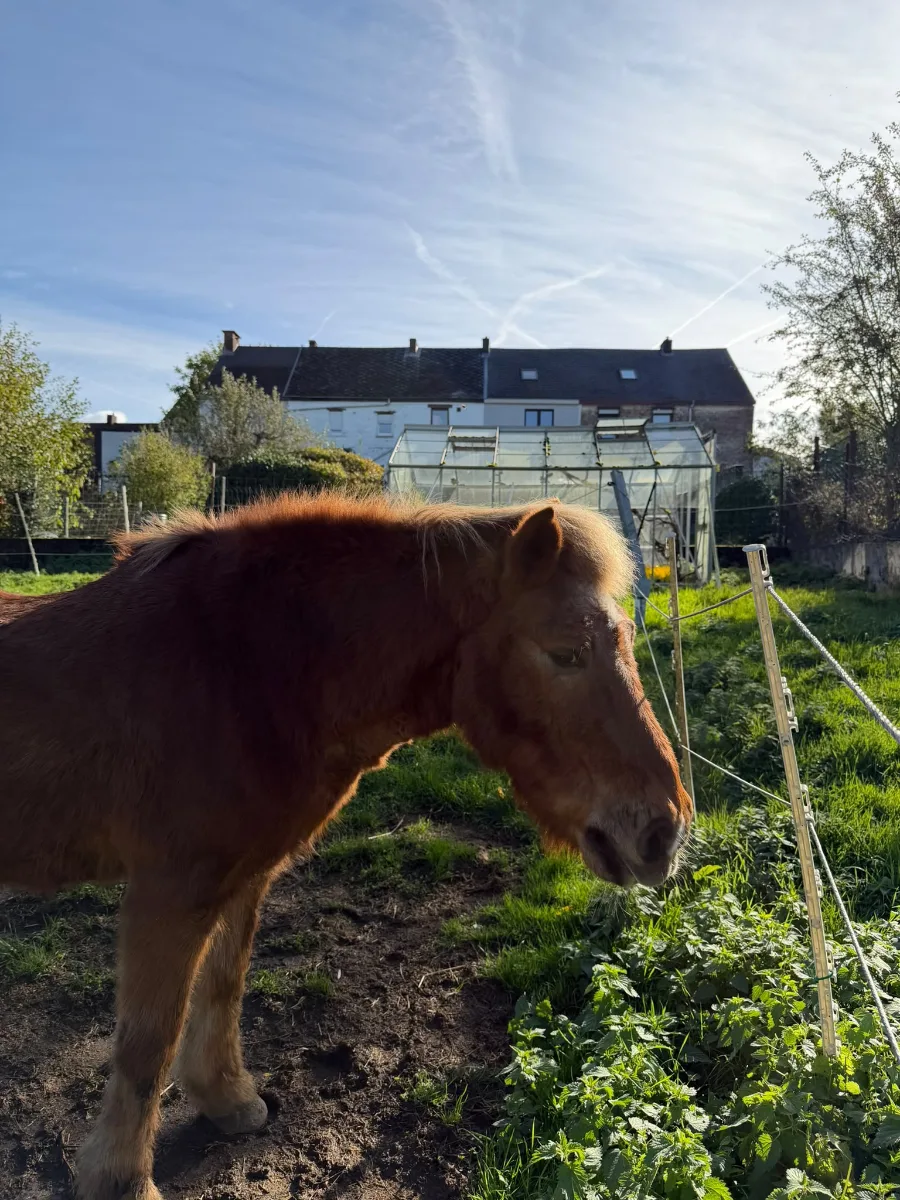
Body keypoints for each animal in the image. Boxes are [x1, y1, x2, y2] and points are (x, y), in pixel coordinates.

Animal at [0, 493, 692, 1200]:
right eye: (566, 653)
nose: (663, 832)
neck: (239, 669)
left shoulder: (240, 876)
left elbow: (223, 985)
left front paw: (227, 1099)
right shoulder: (170, 891)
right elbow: (148, 1039)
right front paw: (121, 1178)